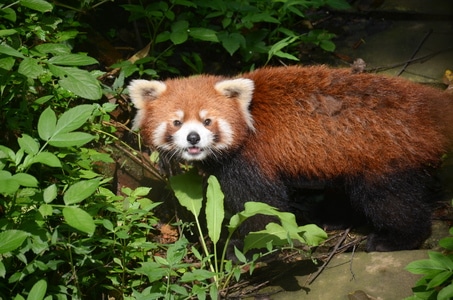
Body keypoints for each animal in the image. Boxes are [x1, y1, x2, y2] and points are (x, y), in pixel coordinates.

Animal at [127, 65, 452, 251]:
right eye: (177, 122)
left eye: (207, 121)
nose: (193, 138)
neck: (248, 117)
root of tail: (428, 104)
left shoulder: (250, 159)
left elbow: (262, 208)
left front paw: (243, 246)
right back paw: (332, 217)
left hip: (384, 156)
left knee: (391, 200)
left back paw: (397, 239)